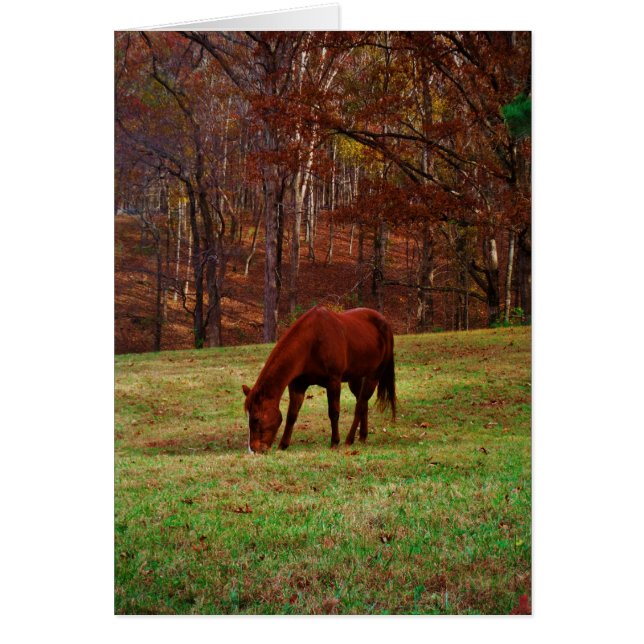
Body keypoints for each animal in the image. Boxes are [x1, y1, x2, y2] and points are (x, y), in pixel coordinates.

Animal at [242, 305, 396, 453]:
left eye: (256, 419)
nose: (253, 449)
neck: (312, 342)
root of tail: (385, 323)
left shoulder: (333, 381)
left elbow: (334, 412)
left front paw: (334, 442)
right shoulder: (297, 385)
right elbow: (292, 414)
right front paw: (283, 445)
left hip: (373, 375)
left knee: (360, 405)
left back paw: (349, 439)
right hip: (356, 378)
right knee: (362, 402)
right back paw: (363, 436)